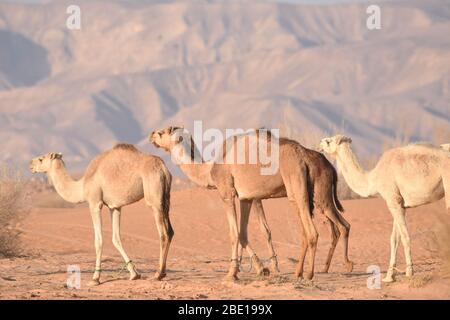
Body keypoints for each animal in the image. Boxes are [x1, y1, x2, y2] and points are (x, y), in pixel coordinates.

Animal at [29, 144, 174, 284]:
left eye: (41, 159)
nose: (31, 164)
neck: (82, 185)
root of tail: (163, 168)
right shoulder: (114, 207)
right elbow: (116, 238)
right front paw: (134, 274)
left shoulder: (94, 203)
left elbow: (98, 240)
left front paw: (95, 278)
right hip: (165, 198)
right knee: (170, 231)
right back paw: (162, 272)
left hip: (154, 197)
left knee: (163, 233)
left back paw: (158, 274)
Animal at [149, 125, 354, 280]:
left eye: (162, 132)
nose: (151, 135)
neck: (210, 169)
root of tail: (310, 158)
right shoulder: (246, 198)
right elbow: (244, 233)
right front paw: (260, 269)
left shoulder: (227, 192)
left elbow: (234, 233)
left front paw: (231, 274)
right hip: (317, 193)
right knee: (329, 226)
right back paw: (302, 271)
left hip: (300, 188)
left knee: (315, 232)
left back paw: (313, 273)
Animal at [318, 135, 450, 282]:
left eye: (328, 141)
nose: (319, 144)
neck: (374, 178)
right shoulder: (400, 204)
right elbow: (394, 239)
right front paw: (389, 276)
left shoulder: (393, 200)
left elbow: (404, 236)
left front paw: (409, 272)